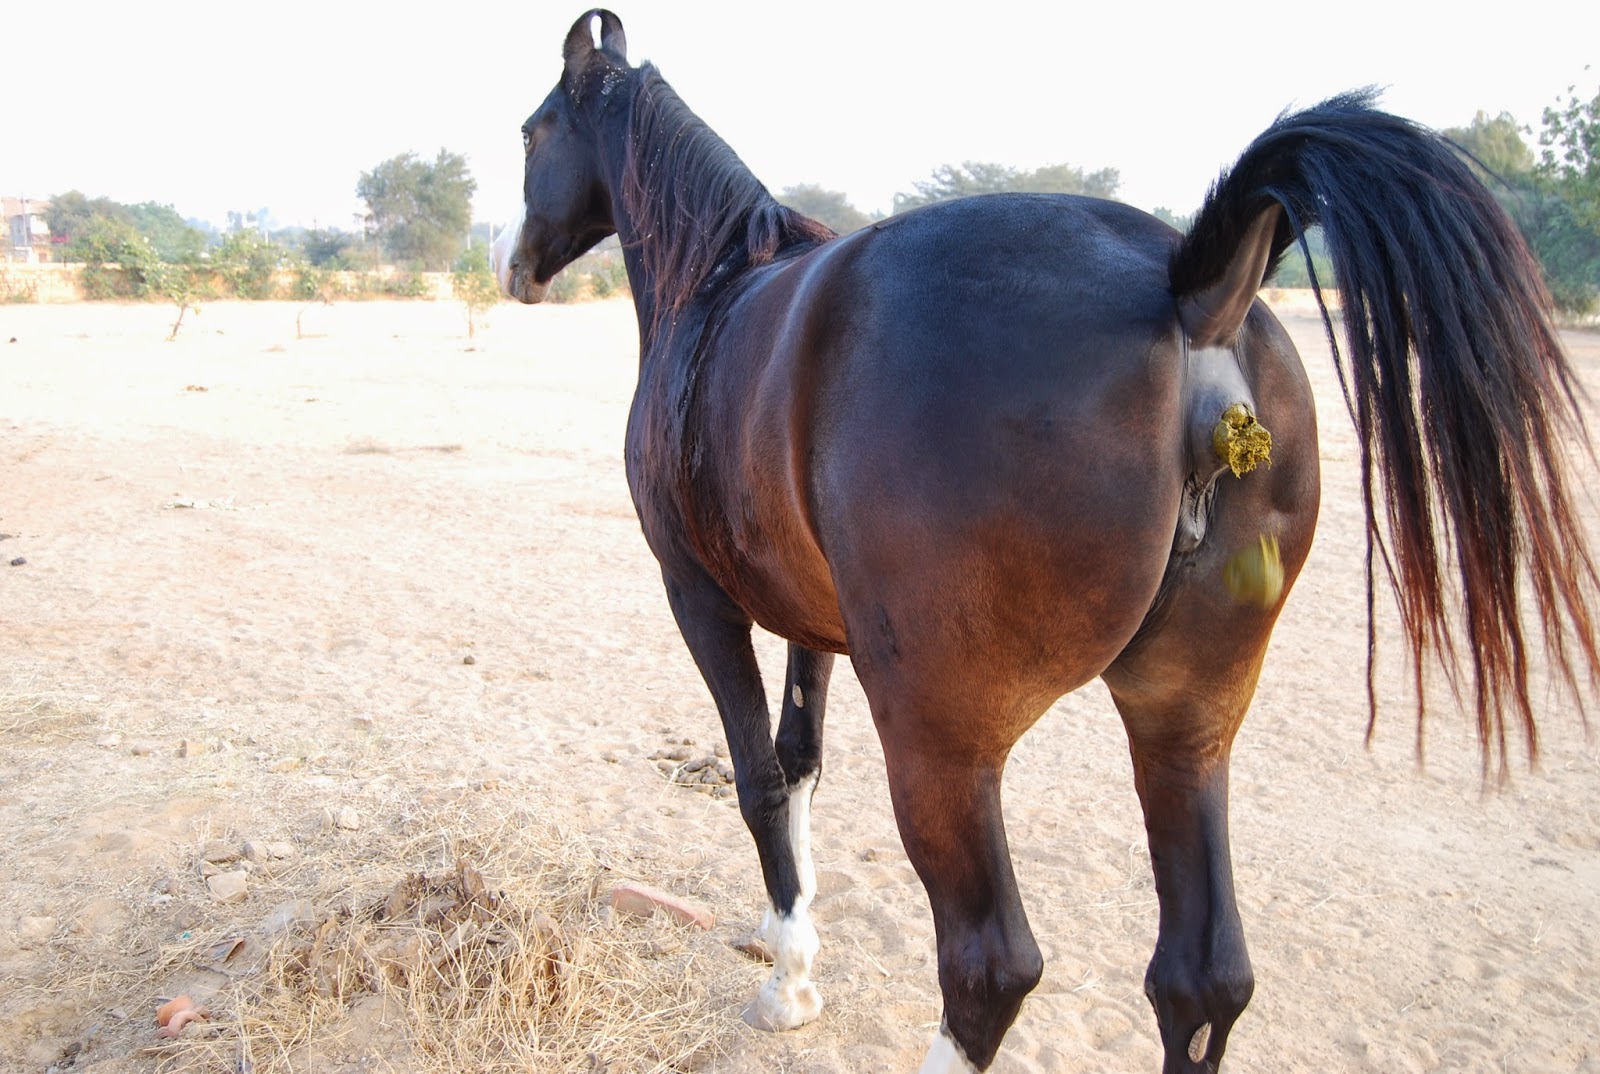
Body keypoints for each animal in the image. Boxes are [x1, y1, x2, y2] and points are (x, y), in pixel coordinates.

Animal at [492, 10, 1593, 1074]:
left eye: (533, 131)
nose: (509, 262)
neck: (716, 288)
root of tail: (1194, 294)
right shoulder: (813, 621)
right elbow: (801, 763)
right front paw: (784, 933)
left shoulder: (698, 598)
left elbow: (760, 776)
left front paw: (788, 984)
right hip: (1186, 723)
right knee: (1201, 983)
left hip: (942, 742)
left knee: (990, 965)